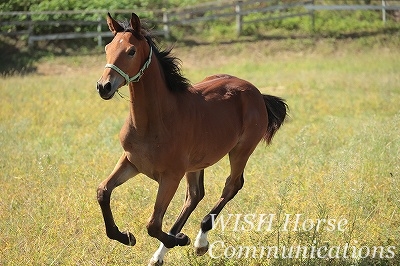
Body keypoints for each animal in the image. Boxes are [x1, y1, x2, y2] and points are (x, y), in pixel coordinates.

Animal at [95, 11, 286, 266]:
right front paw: (125, 236)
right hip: (196, 164)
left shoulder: (171, 176)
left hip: (241, 150)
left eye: (131, 51)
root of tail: (255, 92)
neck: (154, 122)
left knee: (231, 185)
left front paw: (181, 239)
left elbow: (153, 224)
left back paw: (199, 241)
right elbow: (103, 191)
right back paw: (160, 254)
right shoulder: (131, 162)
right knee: (195, 195)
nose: (104, 86)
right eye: (108, 48)